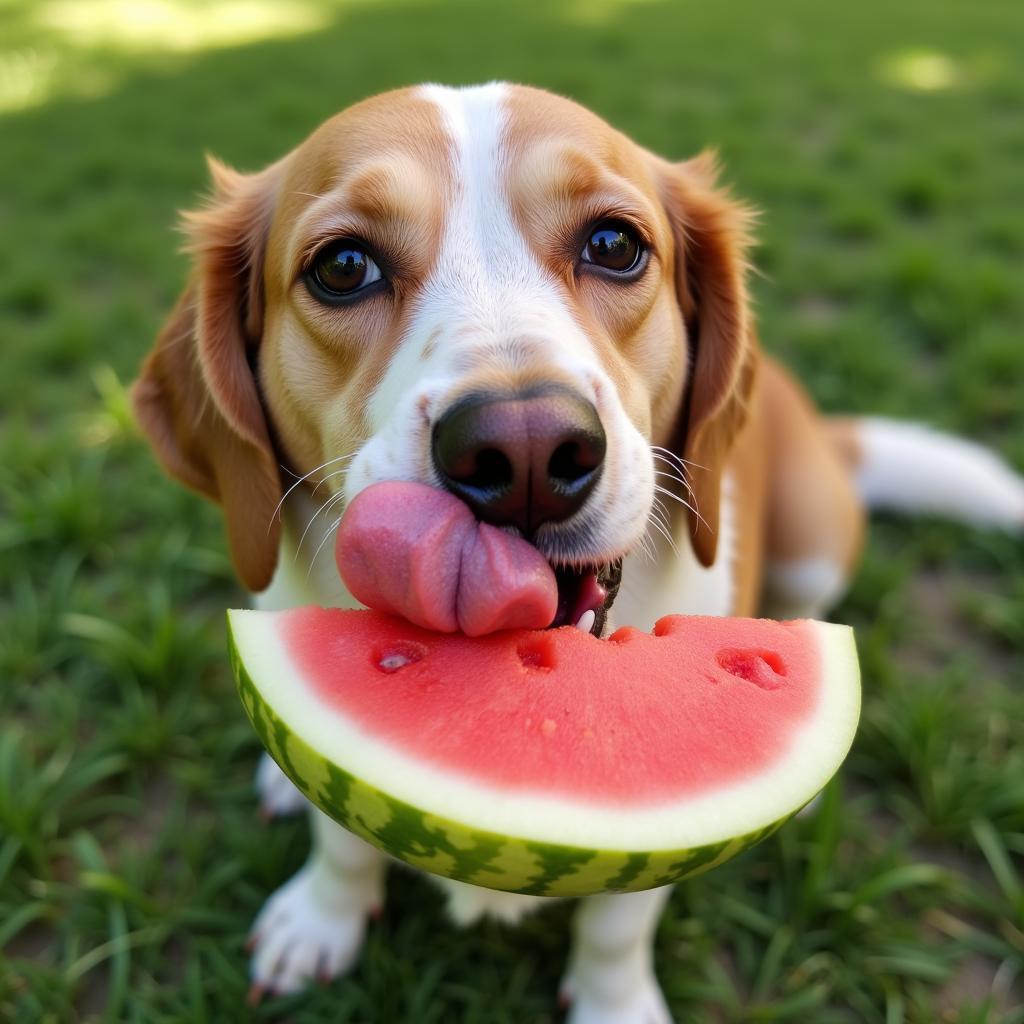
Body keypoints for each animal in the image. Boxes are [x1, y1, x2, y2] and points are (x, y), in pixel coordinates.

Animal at [134, 81, 1024, 1024]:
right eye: (343, 267)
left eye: (613, 245)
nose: (524, 450)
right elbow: (341, 841)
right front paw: (322, 918)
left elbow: (617, 927)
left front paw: (615, 1003)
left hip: (813, 543)